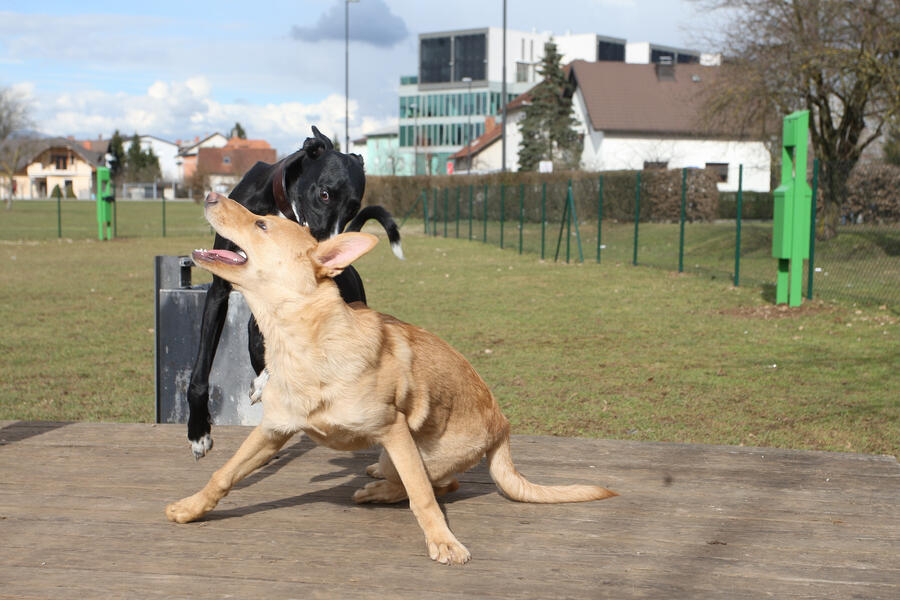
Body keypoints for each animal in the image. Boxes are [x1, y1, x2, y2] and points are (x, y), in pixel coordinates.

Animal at [167, 191, 620, 564]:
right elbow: (223, 474)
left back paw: (380, 492)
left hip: (417, 453)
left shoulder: (394, 430)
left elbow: (422, 498)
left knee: (440, 485)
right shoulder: (273, 431)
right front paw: (192, 507)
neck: (302, 344)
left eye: (262, 224)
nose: (210, 194)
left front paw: (443, 541)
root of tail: (502, 427)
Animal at [186, 125, 400, 454]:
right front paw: (198, 431)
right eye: (324, 194)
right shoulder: (219, 291)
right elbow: (200, 371)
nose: (329, 258)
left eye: (354, 208)